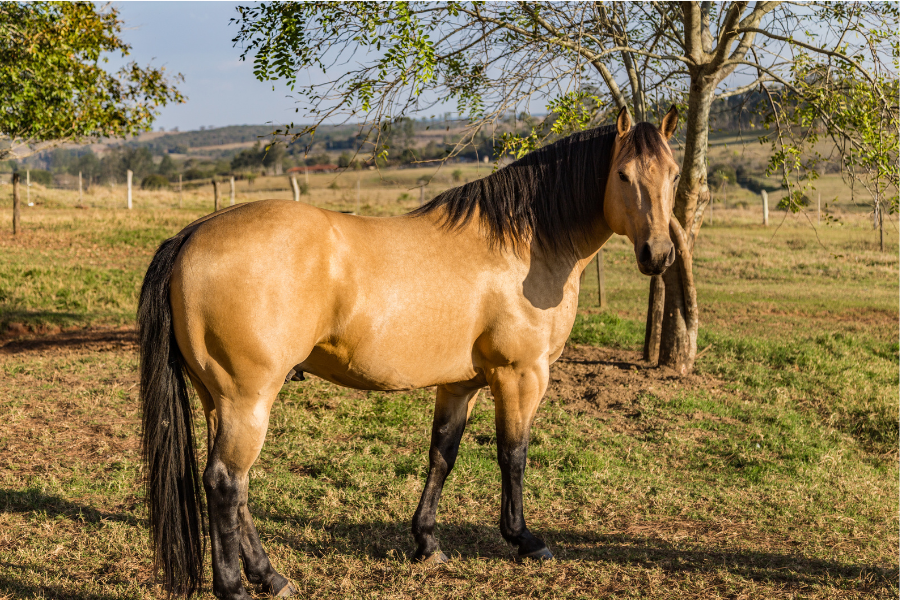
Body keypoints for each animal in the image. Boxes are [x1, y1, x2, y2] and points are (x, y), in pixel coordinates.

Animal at [138, 106, 681, 599]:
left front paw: (426, 543)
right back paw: (234, 587)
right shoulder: (521, 375)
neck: (524, 246)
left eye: (673, 174)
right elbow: (513, 454)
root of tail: (191, 236)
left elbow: (442, 455)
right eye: (623, 174)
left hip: (219, 400)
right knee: (225, 483)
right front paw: (524, 539)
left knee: (238, 488)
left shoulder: (460, 384)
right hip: (247, 400)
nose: (658, 254)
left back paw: (271, 576)